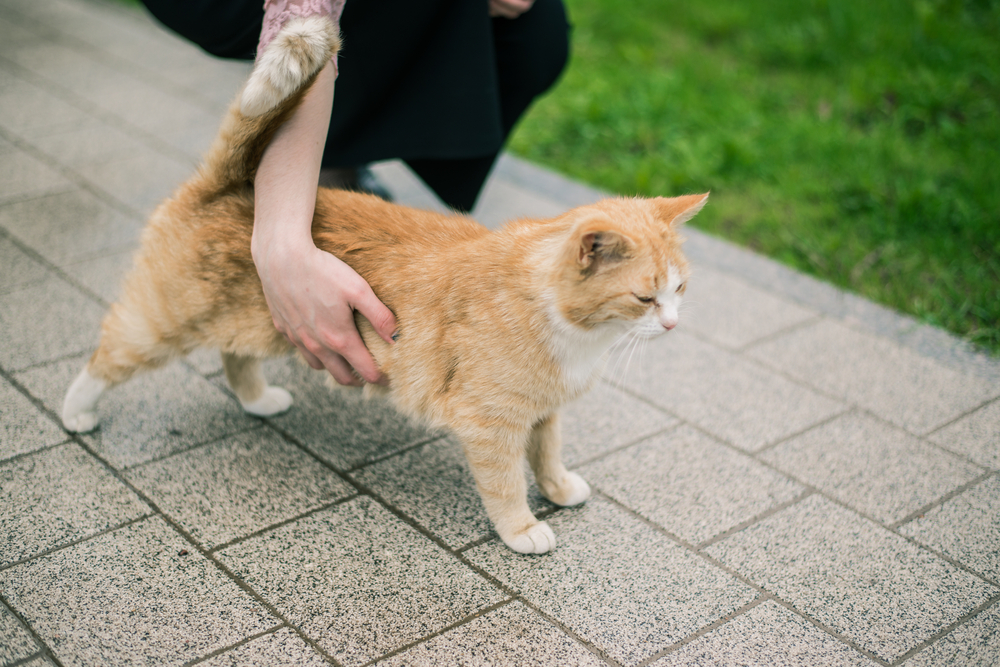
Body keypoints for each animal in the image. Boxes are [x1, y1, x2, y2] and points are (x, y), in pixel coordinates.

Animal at [62, 17, 708, 560]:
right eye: (646, 298)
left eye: (680, 289)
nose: (673, 324)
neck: (572, 331)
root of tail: (228, 185)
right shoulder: (491, 423)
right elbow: (505, 484)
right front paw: (523, 528)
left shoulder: (543, 412)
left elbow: (547, 454)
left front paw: (559, 486)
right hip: (159, 323)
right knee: (107, 353)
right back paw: (76, 412)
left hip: (261, 326)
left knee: (234, 354)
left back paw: (257, 399)